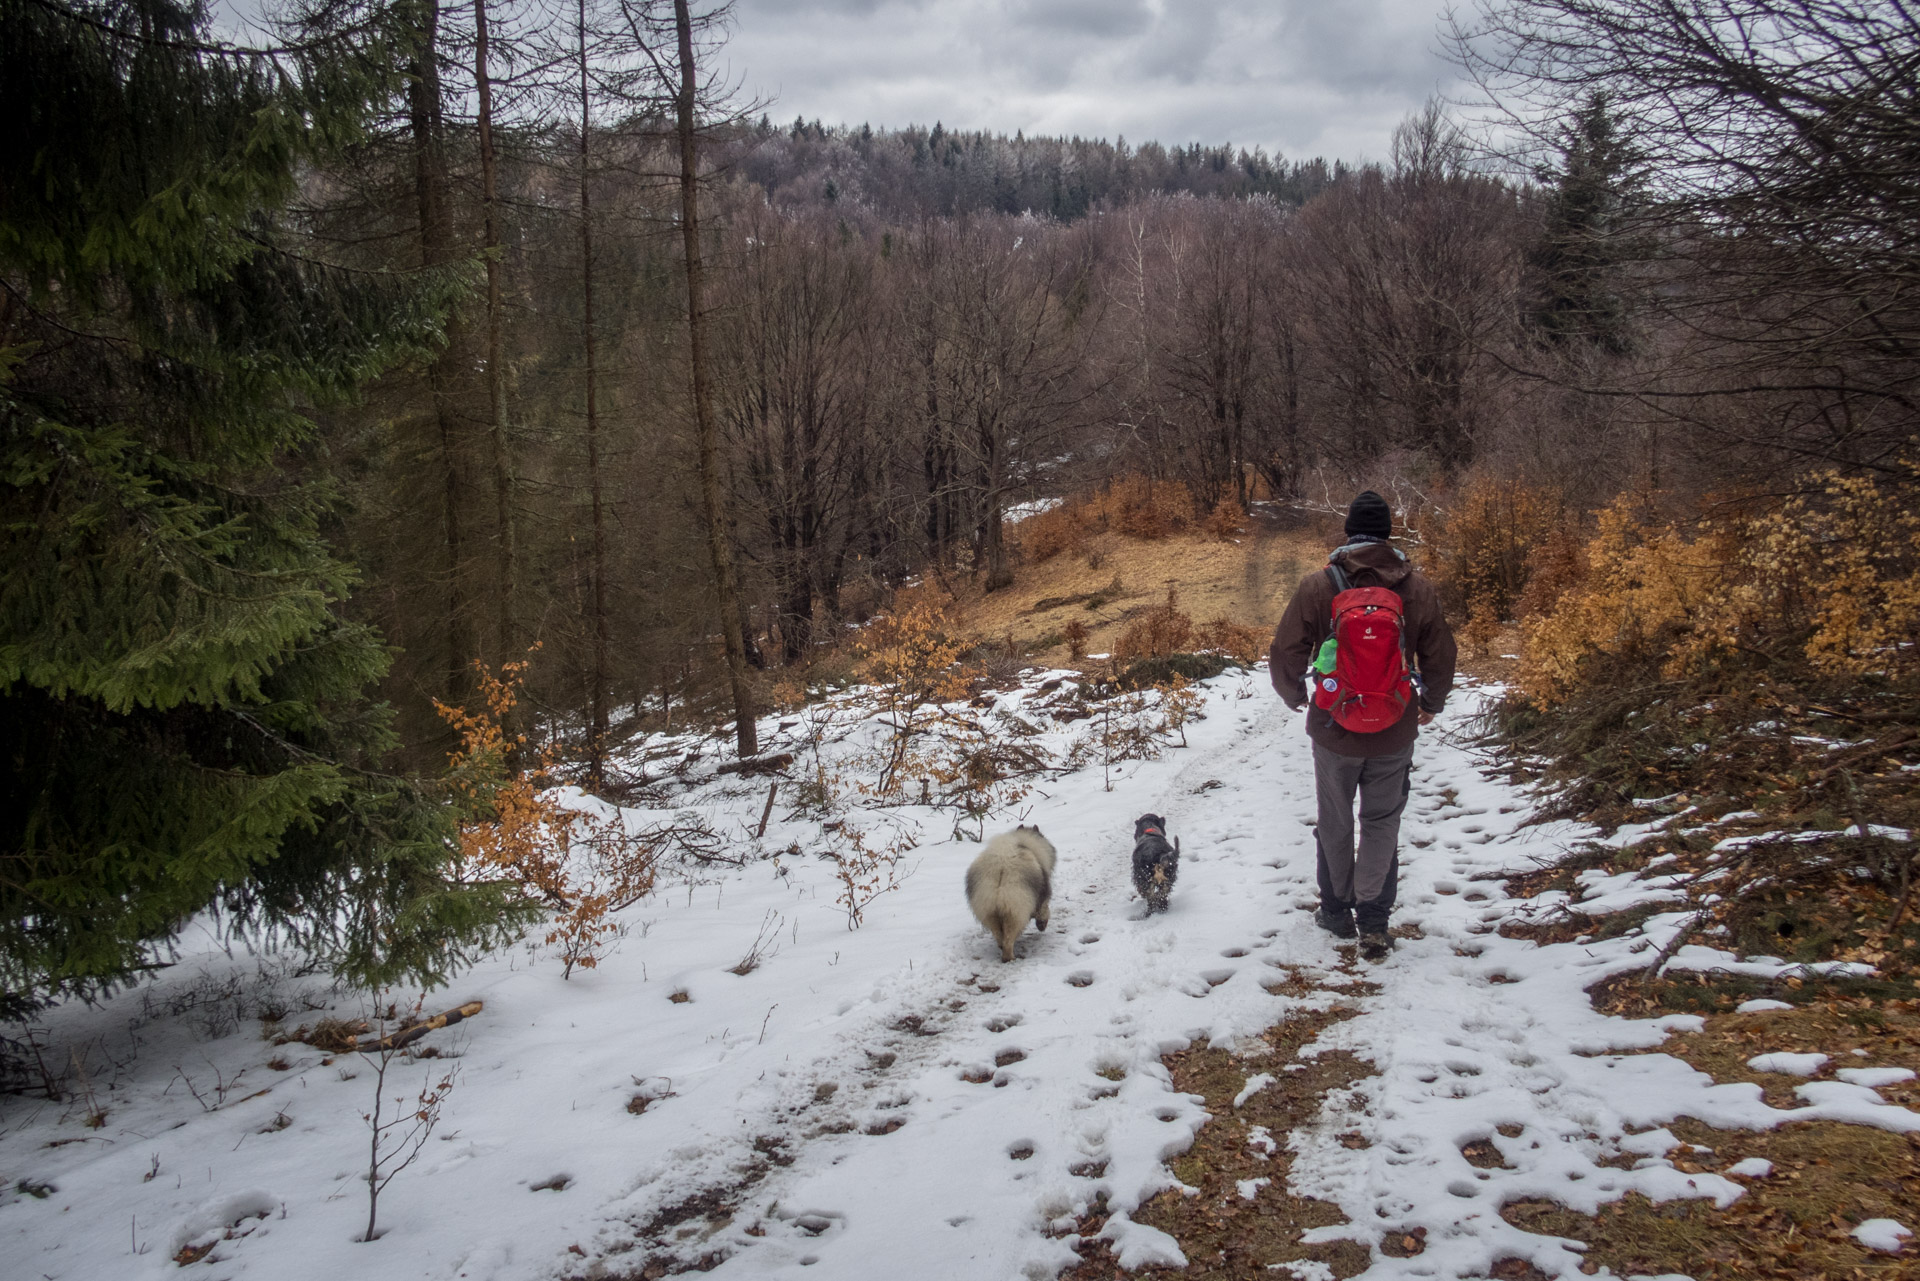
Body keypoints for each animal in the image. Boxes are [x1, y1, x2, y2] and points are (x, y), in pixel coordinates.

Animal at [967, 825, 1059, 967]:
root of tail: (1000, 867)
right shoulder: (1042, 896)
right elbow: (1044, 911)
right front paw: (1042, 925)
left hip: (989, 911)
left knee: (999, 936)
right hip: (1014, 910)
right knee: (1009, 938)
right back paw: (1010, 958)